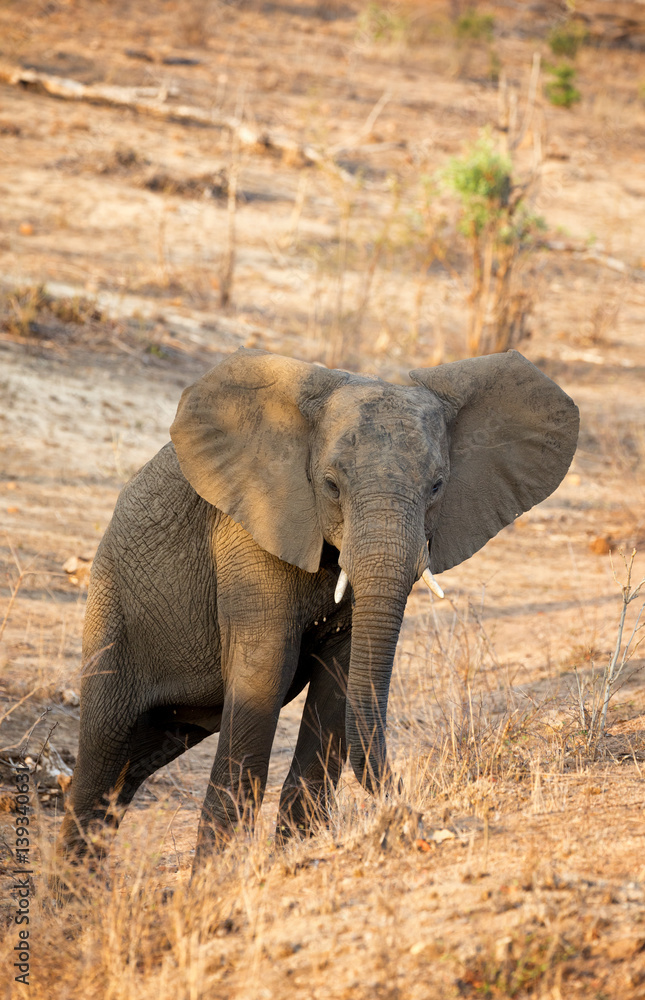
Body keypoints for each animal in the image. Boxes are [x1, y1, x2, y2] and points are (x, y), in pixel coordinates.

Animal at [59, 347, 578, 863]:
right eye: (330, 485)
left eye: (436, 486)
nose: (409, 807)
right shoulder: (252, 525)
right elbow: (264, 670)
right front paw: (218, 876)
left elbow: (340, 677)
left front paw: (293, 851)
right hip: (112, 606)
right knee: (102, 757)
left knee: (128, 768)